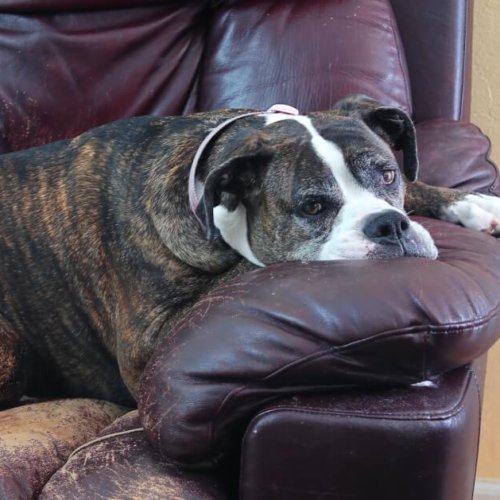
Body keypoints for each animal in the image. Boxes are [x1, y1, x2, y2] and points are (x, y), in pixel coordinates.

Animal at [0, 94, 500, 406]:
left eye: (389, 174)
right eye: (312, 206)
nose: (389, 226)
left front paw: (471, 203)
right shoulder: (148, 345)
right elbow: (249, 268)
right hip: (12, 349)